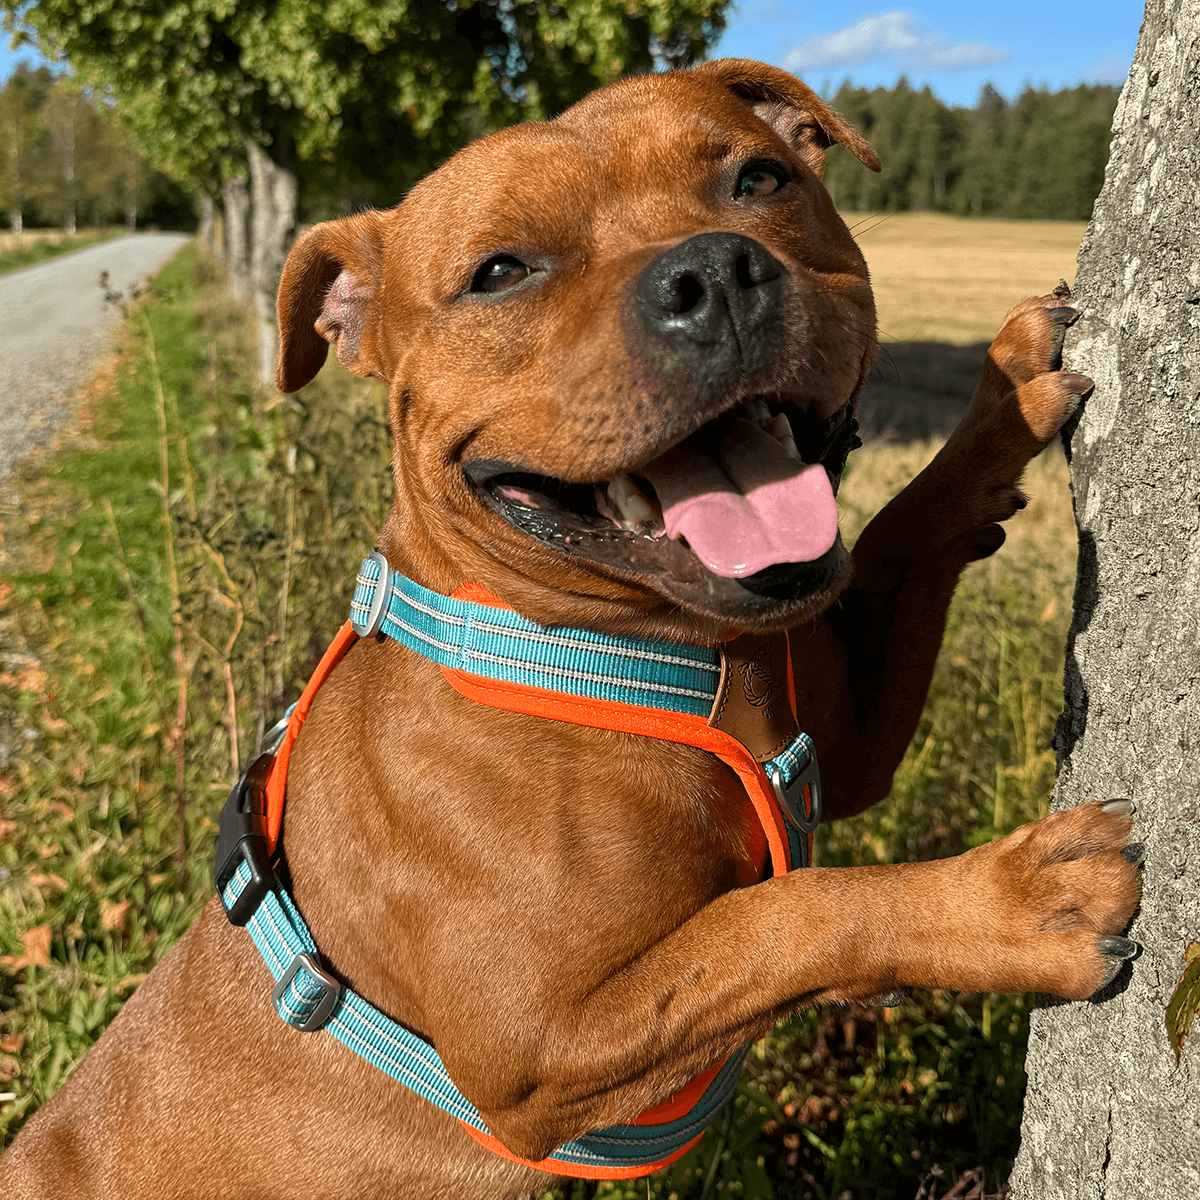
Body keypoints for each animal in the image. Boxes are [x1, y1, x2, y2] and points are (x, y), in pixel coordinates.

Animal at [0, 60, 1137, 1195]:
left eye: (759, 179)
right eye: (500, 272)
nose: (712, 273)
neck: (631, 652)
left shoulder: (842, 748)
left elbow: (900, 530)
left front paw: (1000, 399)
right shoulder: (541, 1048)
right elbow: (784, 918)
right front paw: (1013, 902)